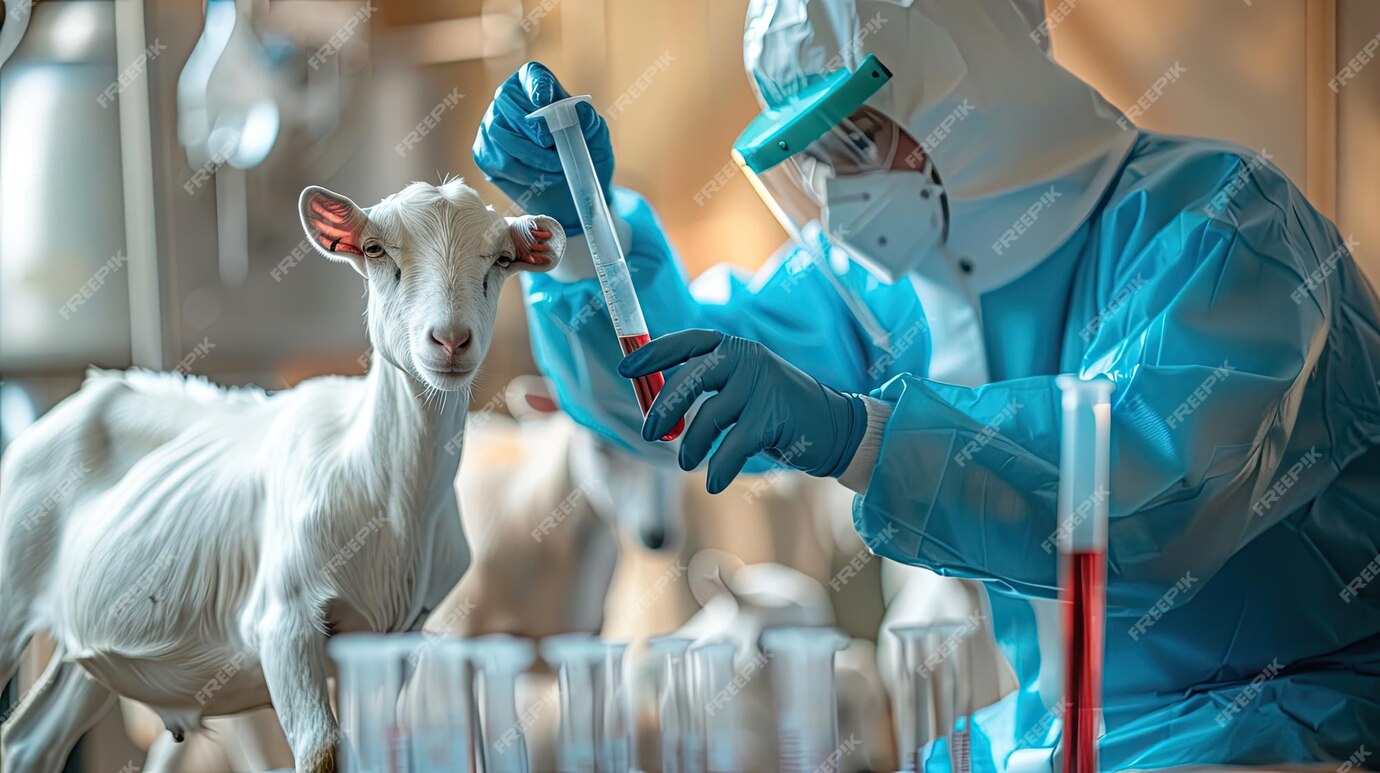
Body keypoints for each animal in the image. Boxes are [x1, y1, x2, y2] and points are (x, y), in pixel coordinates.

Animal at [0, 179, 564, 773]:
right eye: (375, 249)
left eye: (502, 259)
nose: (450, 341)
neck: (388, 501)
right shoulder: (284, 621)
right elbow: (321, 750)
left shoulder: (395, 638)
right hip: (11, 590)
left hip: (90, 644)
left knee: (31, 740)